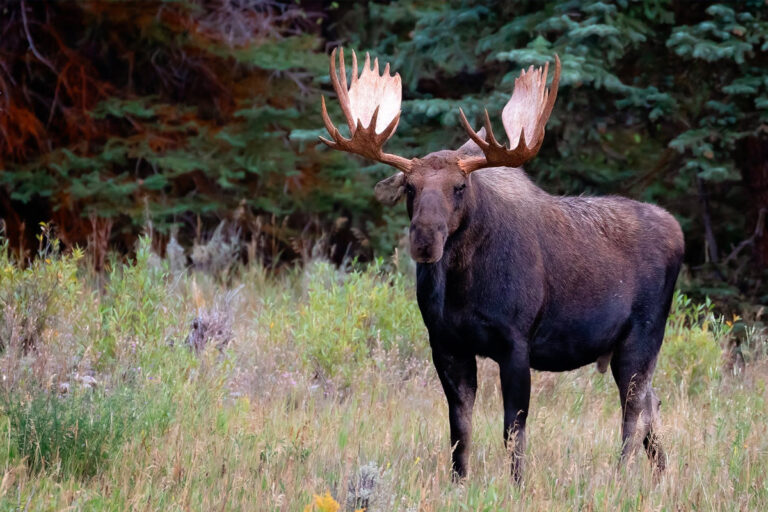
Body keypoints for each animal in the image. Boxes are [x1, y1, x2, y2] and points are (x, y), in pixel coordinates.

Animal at [318, 48, 684, 482]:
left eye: (459, 187)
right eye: (410, 187)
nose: (425, 239)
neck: (462, 288)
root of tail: (678, 230)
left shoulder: (516, 342)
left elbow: (514, 429)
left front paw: (517, 484)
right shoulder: (446, 343)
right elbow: (460, 429)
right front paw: (458, 483)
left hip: (642, 336)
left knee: (633, 412)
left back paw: (620, 477)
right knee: (651, 404)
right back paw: (661, 478)